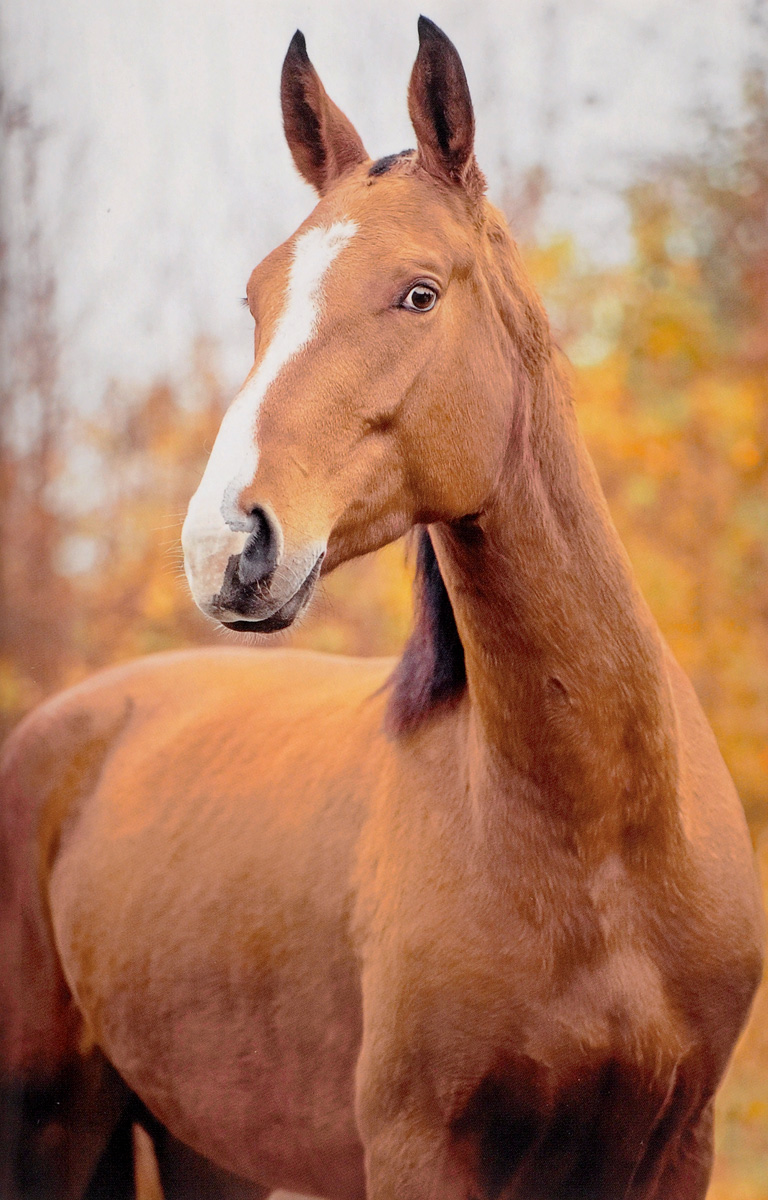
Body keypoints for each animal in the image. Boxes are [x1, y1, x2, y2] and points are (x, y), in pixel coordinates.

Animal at [0, 18, 763, 1200]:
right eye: (257, 300)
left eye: (418, 294)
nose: (228, 545)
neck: (597, 847)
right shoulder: (415, 1152)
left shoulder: (678, 1145)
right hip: (44, 1120)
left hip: (200, 1140)